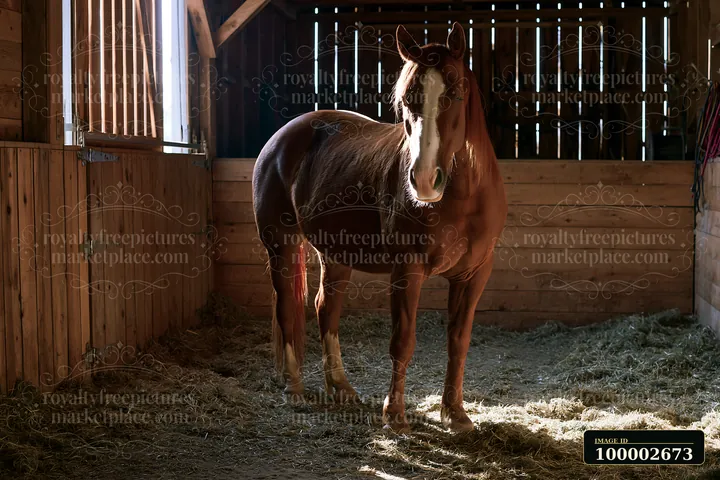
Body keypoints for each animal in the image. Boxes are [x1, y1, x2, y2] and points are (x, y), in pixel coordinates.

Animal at [252, 22, 507, 433]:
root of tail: (282, 138)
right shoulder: (407, 269)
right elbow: (402, 340)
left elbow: (459, 339)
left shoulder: (473, 274)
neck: (465, 196)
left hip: (334, 254)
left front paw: (455, 413)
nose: (424, 180)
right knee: (288, 308)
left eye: (455, 93)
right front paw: (395, 414)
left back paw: (341, 387)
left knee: (326, 309)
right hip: (282, 245)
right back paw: (294, 388)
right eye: (405, 101)